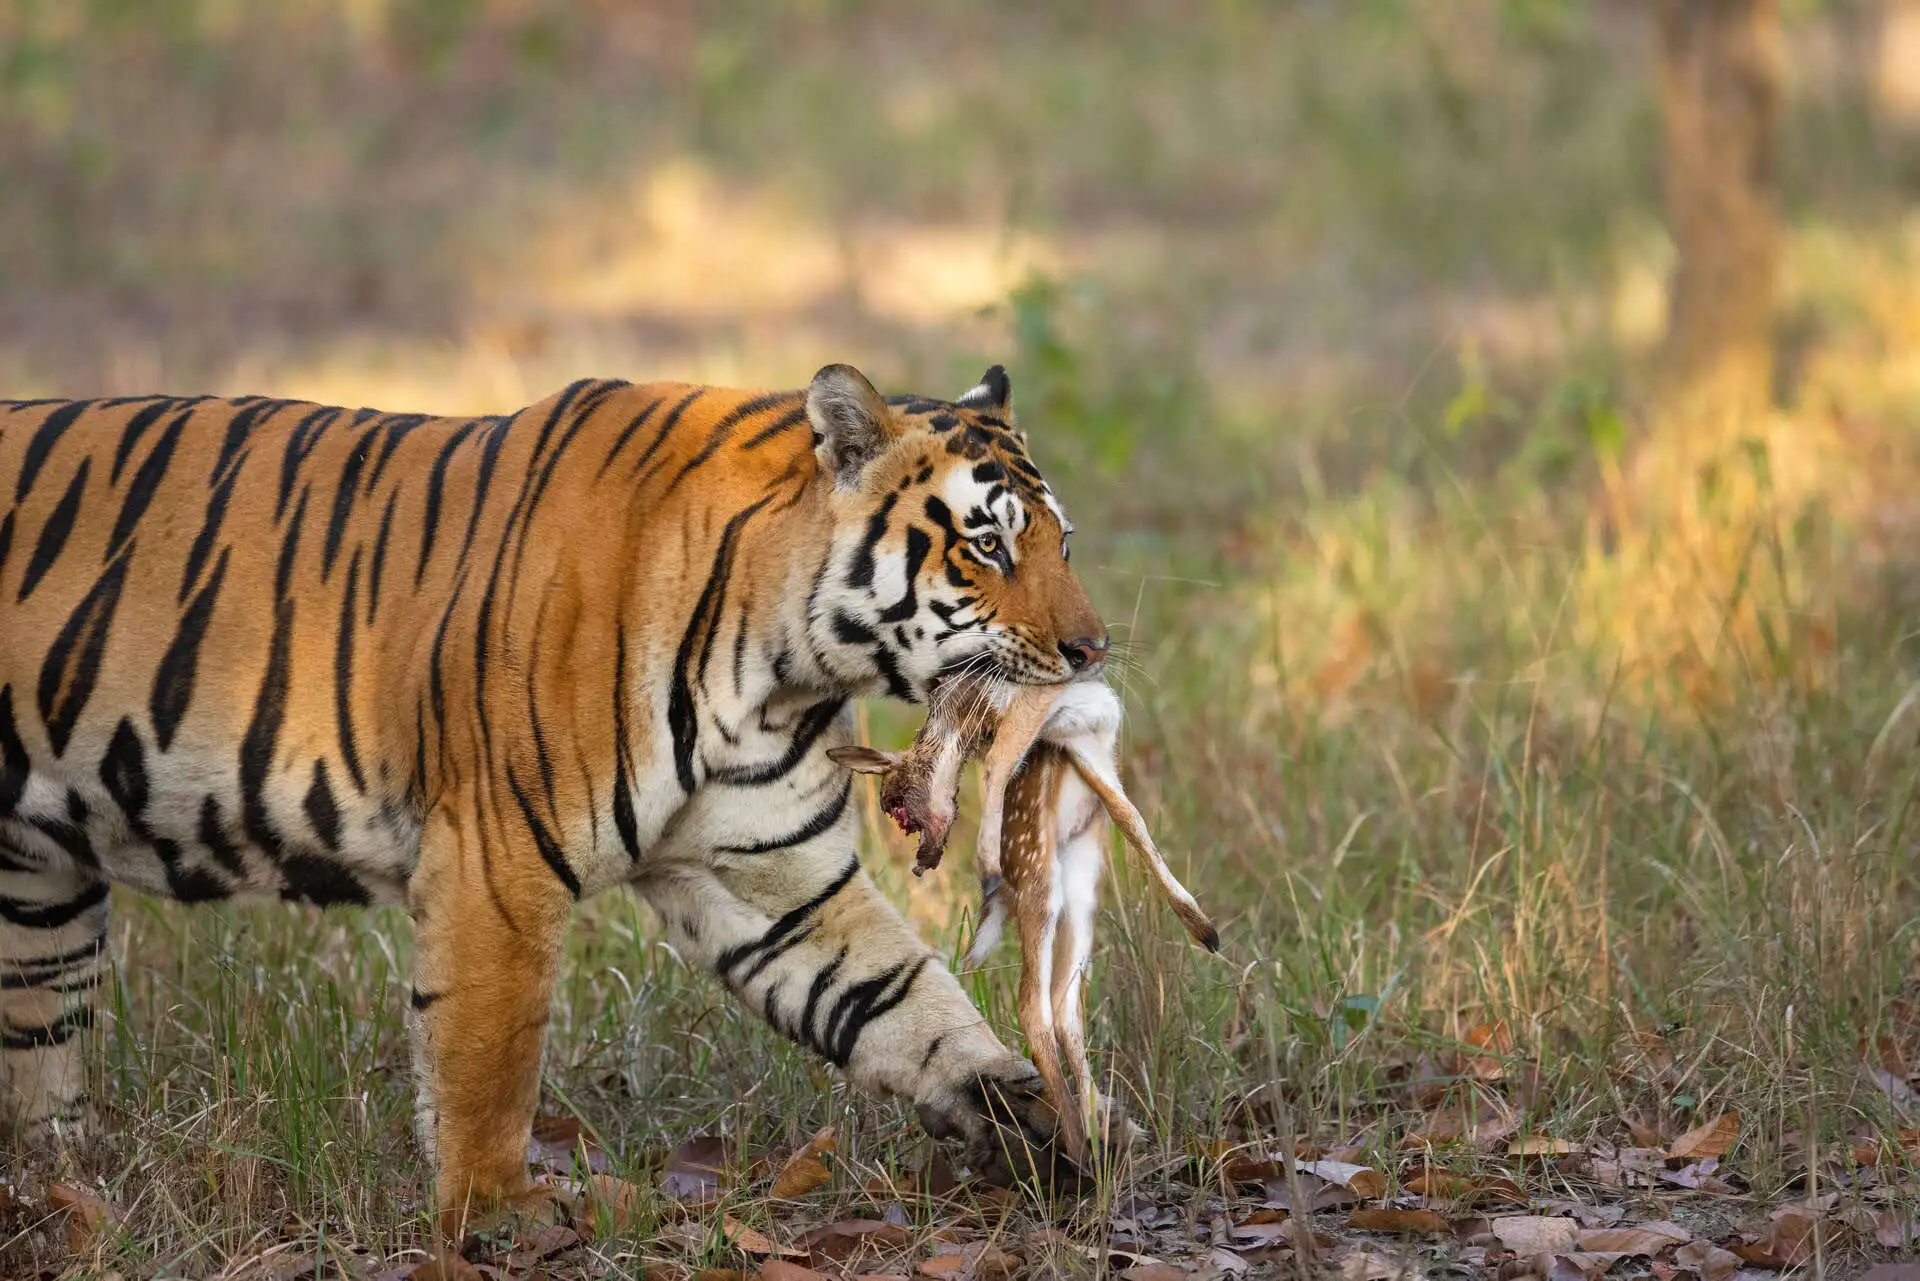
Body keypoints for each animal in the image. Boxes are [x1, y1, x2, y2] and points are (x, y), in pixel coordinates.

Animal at [0, 361, 1113, 1229]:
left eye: (1063, 543)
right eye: (987, 544)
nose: (1094, 650)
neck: (782, 666)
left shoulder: (769, 875)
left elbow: (902, 997)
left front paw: (1041, 1114)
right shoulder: (498, 856)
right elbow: (489, 1054)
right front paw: (504, 1210)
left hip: (37, 885)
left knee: (37, 1041)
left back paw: (61, 1185)